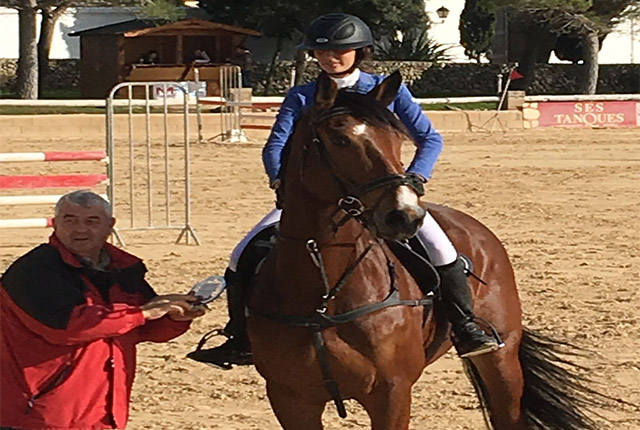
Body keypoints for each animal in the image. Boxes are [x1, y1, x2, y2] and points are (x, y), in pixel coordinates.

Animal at [246, 72, 604, 428]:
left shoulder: (392, 393)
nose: (405, 216)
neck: (324, 295)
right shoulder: (290, 399)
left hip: (502, 359)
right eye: (340, 140)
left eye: (397, 138)